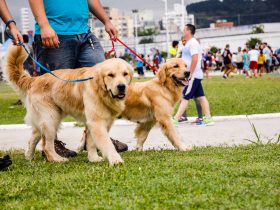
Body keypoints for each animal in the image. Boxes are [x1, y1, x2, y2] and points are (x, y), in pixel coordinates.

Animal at [4, 45, 133, 166]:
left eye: (125, 74)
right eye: (110, 75)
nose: (121, 86)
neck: (101, 90)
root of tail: (35, 79)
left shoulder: (95, 121)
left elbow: (91, 142)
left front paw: (93, 158)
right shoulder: (96, 122)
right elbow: (106, 143)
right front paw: (116, 160)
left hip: (44, 119)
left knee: (33, 138)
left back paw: (29, 157)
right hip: (51, 118)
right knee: (46, 146)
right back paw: (57, 159)